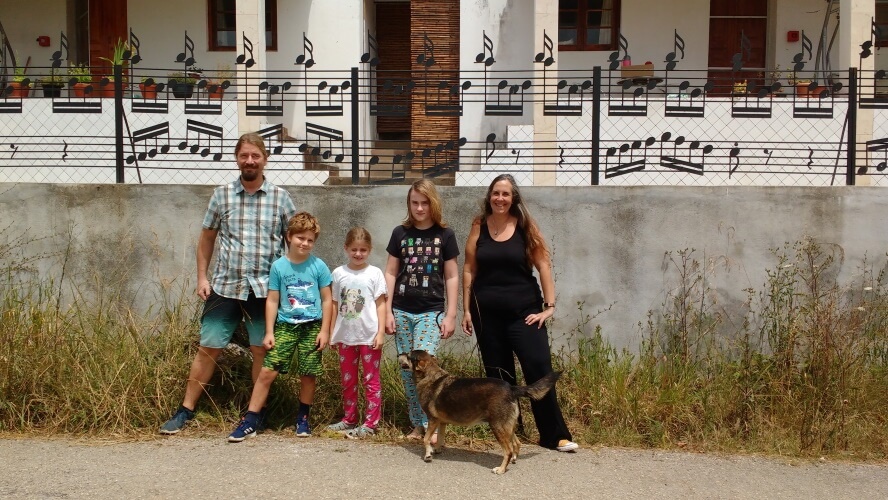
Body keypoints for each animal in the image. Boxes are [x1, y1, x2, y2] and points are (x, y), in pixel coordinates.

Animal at [398, 348, 560, 472]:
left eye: (409, 355)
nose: (399, 353)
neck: (429, 376)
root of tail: (511, 388)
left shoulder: (433, 420)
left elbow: (426, 439)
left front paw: (428, 455)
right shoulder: (442, 422)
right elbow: (440, 438)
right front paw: (436, 449)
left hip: (497, 427)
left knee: (508, 450)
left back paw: (501, 469)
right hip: (508, 426)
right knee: (517, 444)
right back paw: (513, 460)